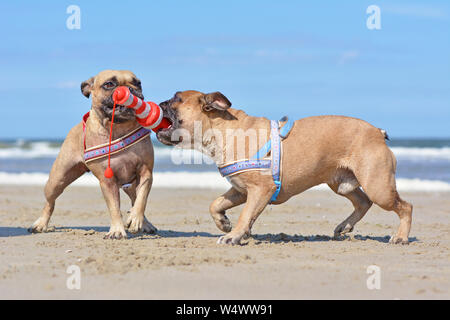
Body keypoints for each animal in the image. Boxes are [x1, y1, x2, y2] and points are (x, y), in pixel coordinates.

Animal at [156, 90, 414, 245]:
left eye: (177, 99)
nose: (160, 102)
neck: (224, 130)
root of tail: (377, 132)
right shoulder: (241, 191)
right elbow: (216, 204)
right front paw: (224, 223)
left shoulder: (260, 190)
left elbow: (245, 214)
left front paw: (234, 235)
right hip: (342, 184)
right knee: (362, 201)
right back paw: (345, 226)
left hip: (378, 186)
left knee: (404, 207)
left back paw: (400, 237)